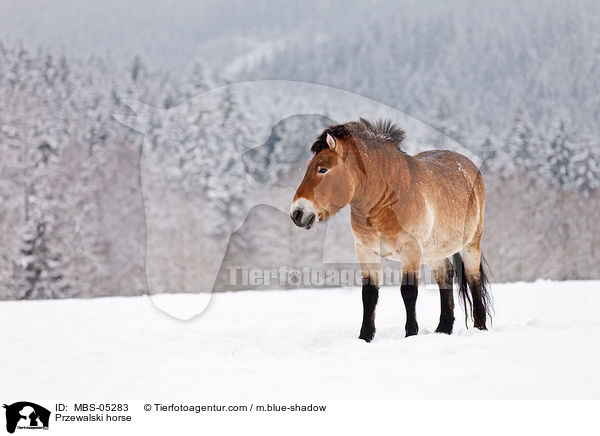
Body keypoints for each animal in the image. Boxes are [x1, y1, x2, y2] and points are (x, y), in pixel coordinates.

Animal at [290, 118, 492, 340]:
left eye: (323, 169)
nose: (297, 213)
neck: (387, 199)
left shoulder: (410, 251)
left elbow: (408, 292)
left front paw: (410, 333)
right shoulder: (366, 252)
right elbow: (369, 295)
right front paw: (365, 336)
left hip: (471, 244)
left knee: (473, 280)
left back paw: (480, 327)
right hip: (434, 252)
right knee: (445, 278)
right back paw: (443, 329)